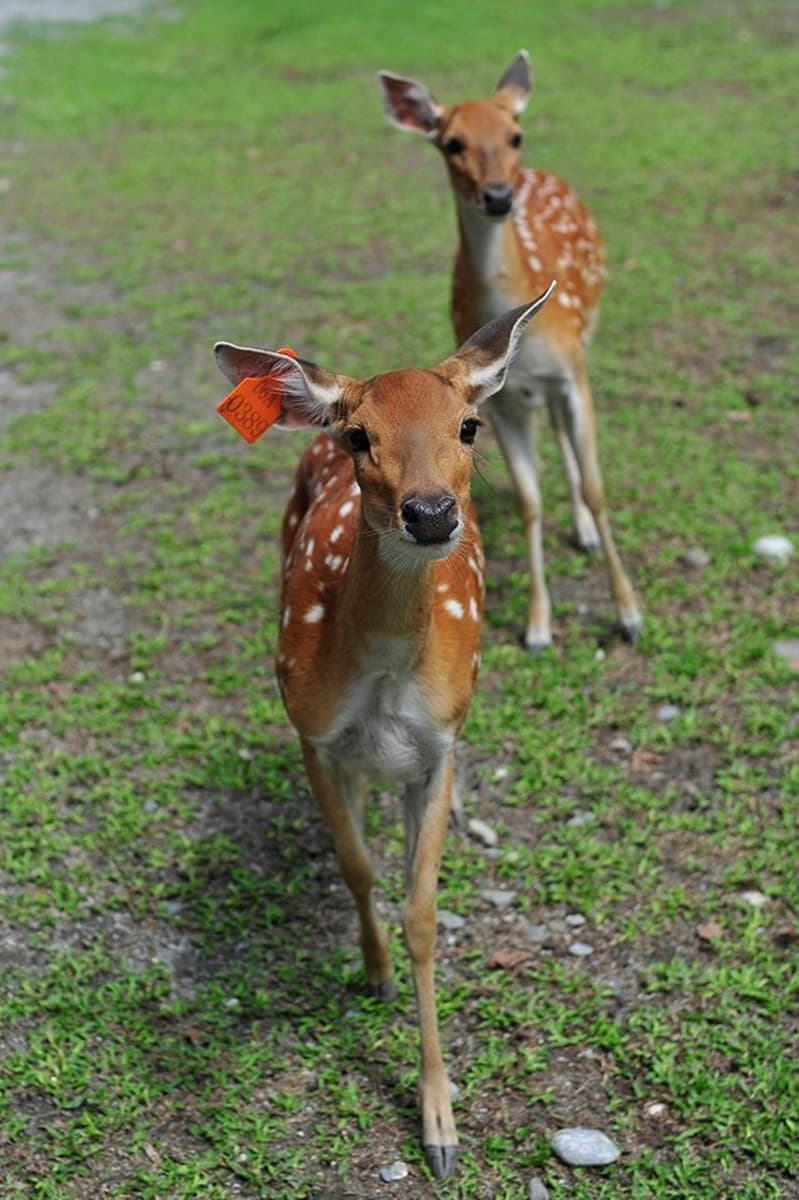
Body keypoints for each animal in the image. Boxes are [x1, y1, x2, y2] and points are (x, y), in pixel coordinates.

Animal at [213, 286, 553, 1180]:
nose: (430, 514)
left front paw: (439, 1124)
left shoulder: (438, 745)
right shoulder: (309, 729)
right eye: (359, 435)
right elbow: (356, 865)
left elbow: (422, 910)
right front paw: (373, 972)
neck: (384, 681)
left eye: (467, 426)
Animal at [378, 51, 642, 652]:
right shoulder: (495, 402)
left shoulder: (573, 374)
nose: (500, 196)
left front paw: (629, 614)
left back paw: (588, 534)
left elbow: (596, 486)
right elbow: (529, 502)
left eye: (515, 135)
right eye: (451, 142)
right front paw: (538, 626)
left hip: (585, 343)